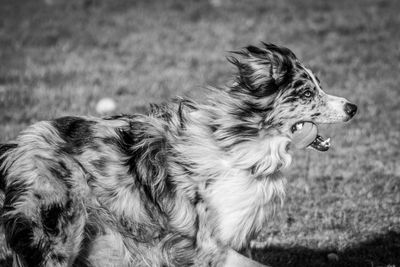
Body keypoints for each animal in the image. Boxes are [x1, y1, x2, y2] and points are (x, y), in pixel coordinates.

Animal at [0, 43, 356, 266]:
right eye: (307, 93)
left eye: (319, 86)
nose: (353, 107)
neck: (241, 147)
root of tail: (17, 146)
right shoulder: (208, 246)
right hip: (57, 234)